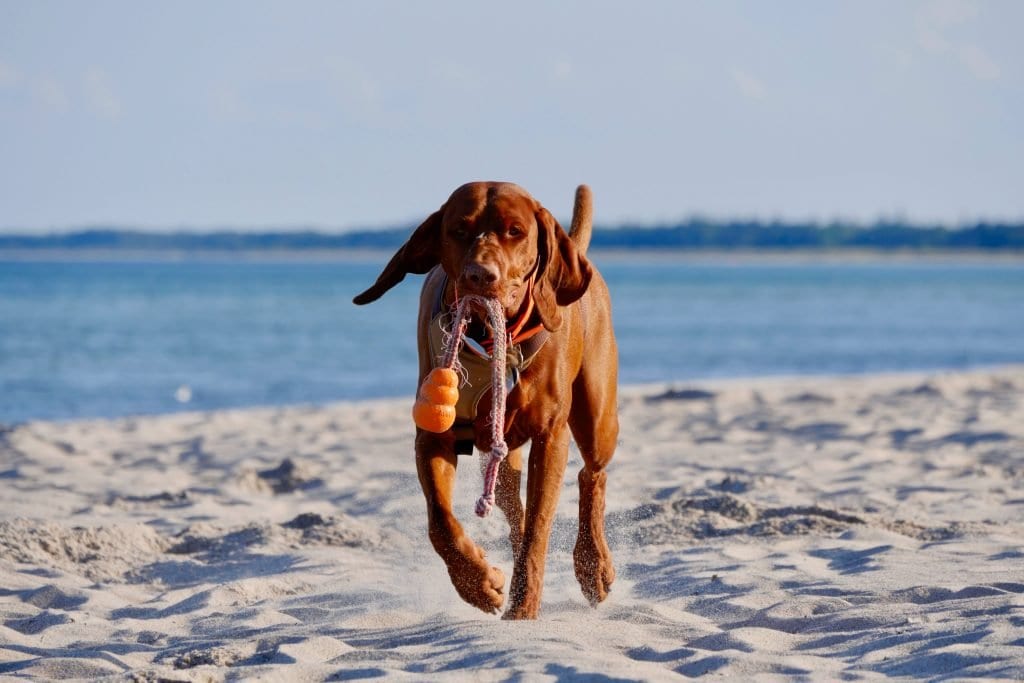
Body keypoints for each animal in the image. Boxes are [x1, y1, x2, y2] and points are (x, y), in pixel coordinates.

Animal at [356, 181, 618, 618]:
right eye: (459, 230)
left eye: (515, 231)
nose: (480, 275)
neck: (493, 338)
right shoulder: (434, 437)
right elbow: (440, 521)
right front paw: (477, 584)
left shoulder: (550, 438)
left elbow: (539, 531)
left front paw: (523, 609)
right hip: (502, 456)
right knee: (516, 511)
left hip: (597, 417)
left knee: (591, 475)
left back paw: (593, 564)